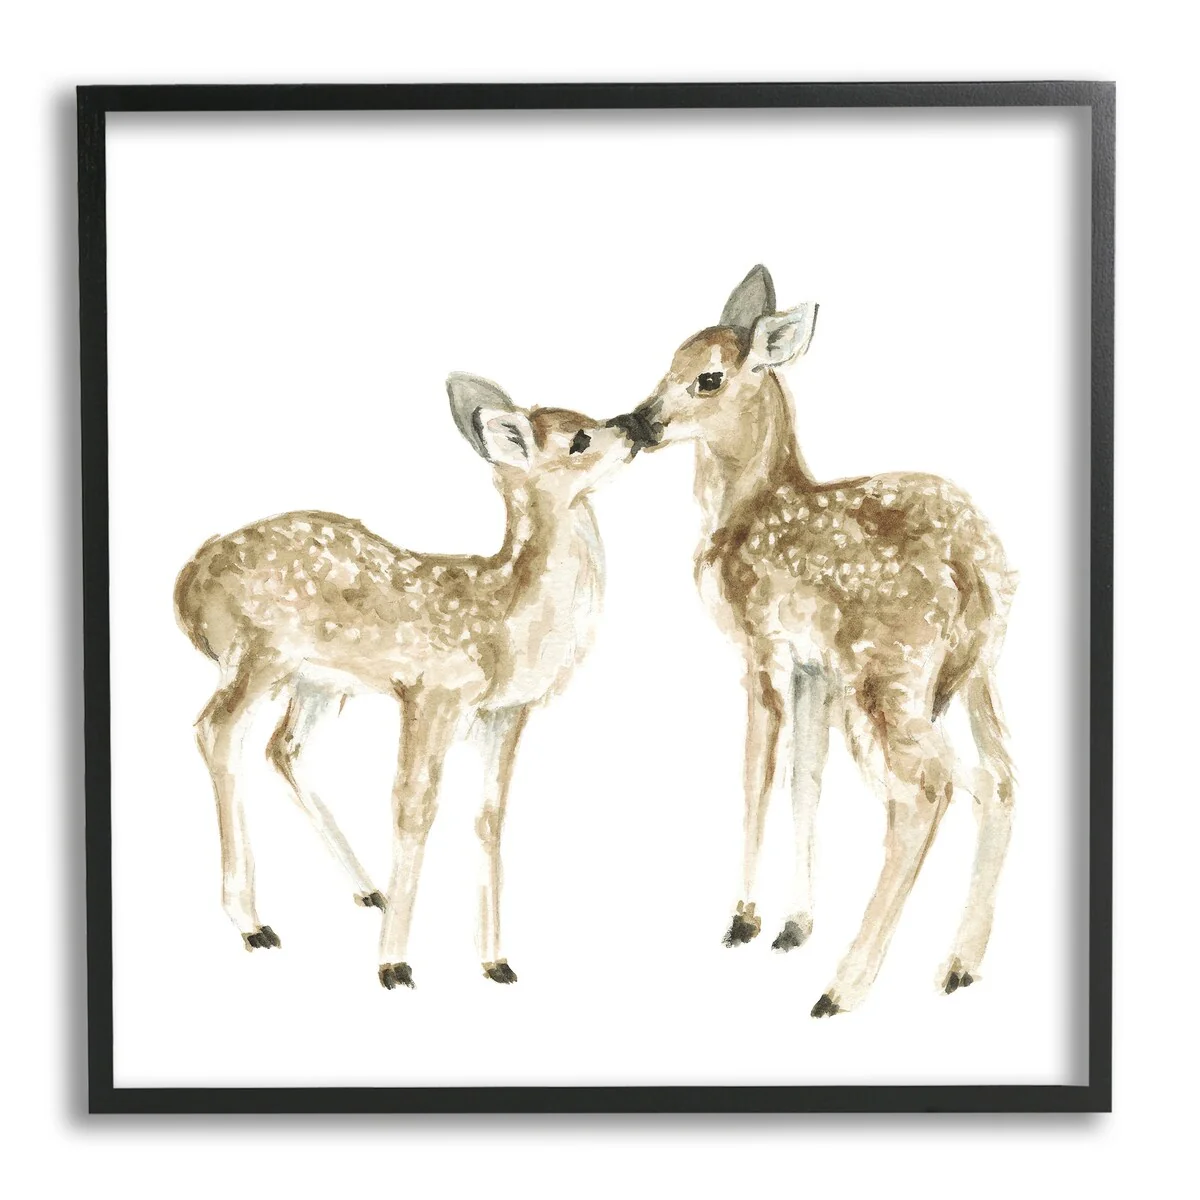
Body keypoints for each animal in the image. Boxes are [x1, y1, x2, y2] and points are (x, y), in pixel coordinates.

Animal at [174, 374, 643, 990]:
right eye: (580, 439)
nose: (636, 425)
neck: (505, 624)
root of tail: (189, 585)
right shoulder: (432, 690)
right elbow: (413, 806)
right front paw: (394, 964)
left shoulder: (505, 712)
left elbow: (489, 818)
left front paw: (496, 961)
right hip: (259, 652)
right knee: (217, 731)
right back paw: (254, 923)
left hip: (318, 682)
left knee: (284, 748)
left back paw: (369, 891)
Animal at [612, 266, 1016, 1015]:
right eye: (669, 359)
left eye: (707, 378)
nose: (637, 422)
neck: (744, 511)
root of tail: (976, 568)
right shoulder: (813, 669)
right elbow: (806, 777)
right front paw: (793, 925)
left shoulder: (761, 649)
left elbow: (757, 774)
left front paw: (743, 918)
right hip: (975, 673)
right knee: (997, 779)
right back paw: (957, 967)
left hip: (886, 672)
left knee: (928, 789)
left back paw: (843, 988)